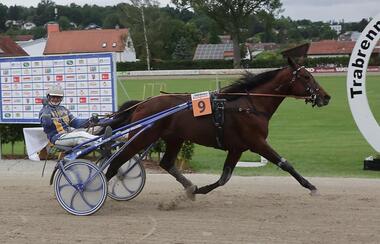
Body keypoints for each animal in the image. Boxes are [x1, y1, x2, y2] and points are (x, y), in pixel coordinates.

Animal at [104, 58, 330, 198]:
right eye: (307, 77)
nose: (326, 96)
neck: (250, 105)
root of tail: (142, 104)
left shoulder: (237, 148)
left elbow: (224, 178)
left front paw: (198, 190)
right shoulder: (257, 142)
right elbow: (285, 164)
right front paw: (311, 187)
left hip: (174, 138)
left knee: (167, 163)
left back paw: (189, 185)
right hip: (142, 137)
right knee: (116, 162)